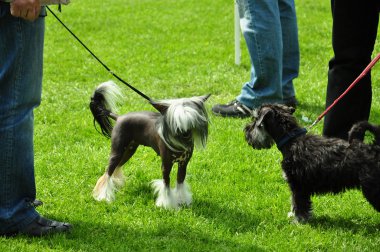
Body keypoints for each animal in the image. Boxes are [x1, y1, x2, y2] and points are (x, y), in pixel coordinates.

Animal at [243, 104, 380, 222]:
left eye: (255, 119)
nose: (246, 131)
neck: (291, 140)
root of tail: (375, 148)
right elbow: (295, 203)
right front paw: (294, 215)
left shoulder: (297, 185)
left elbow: (299, 204)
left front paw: (299, 221)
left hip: (372, 189)